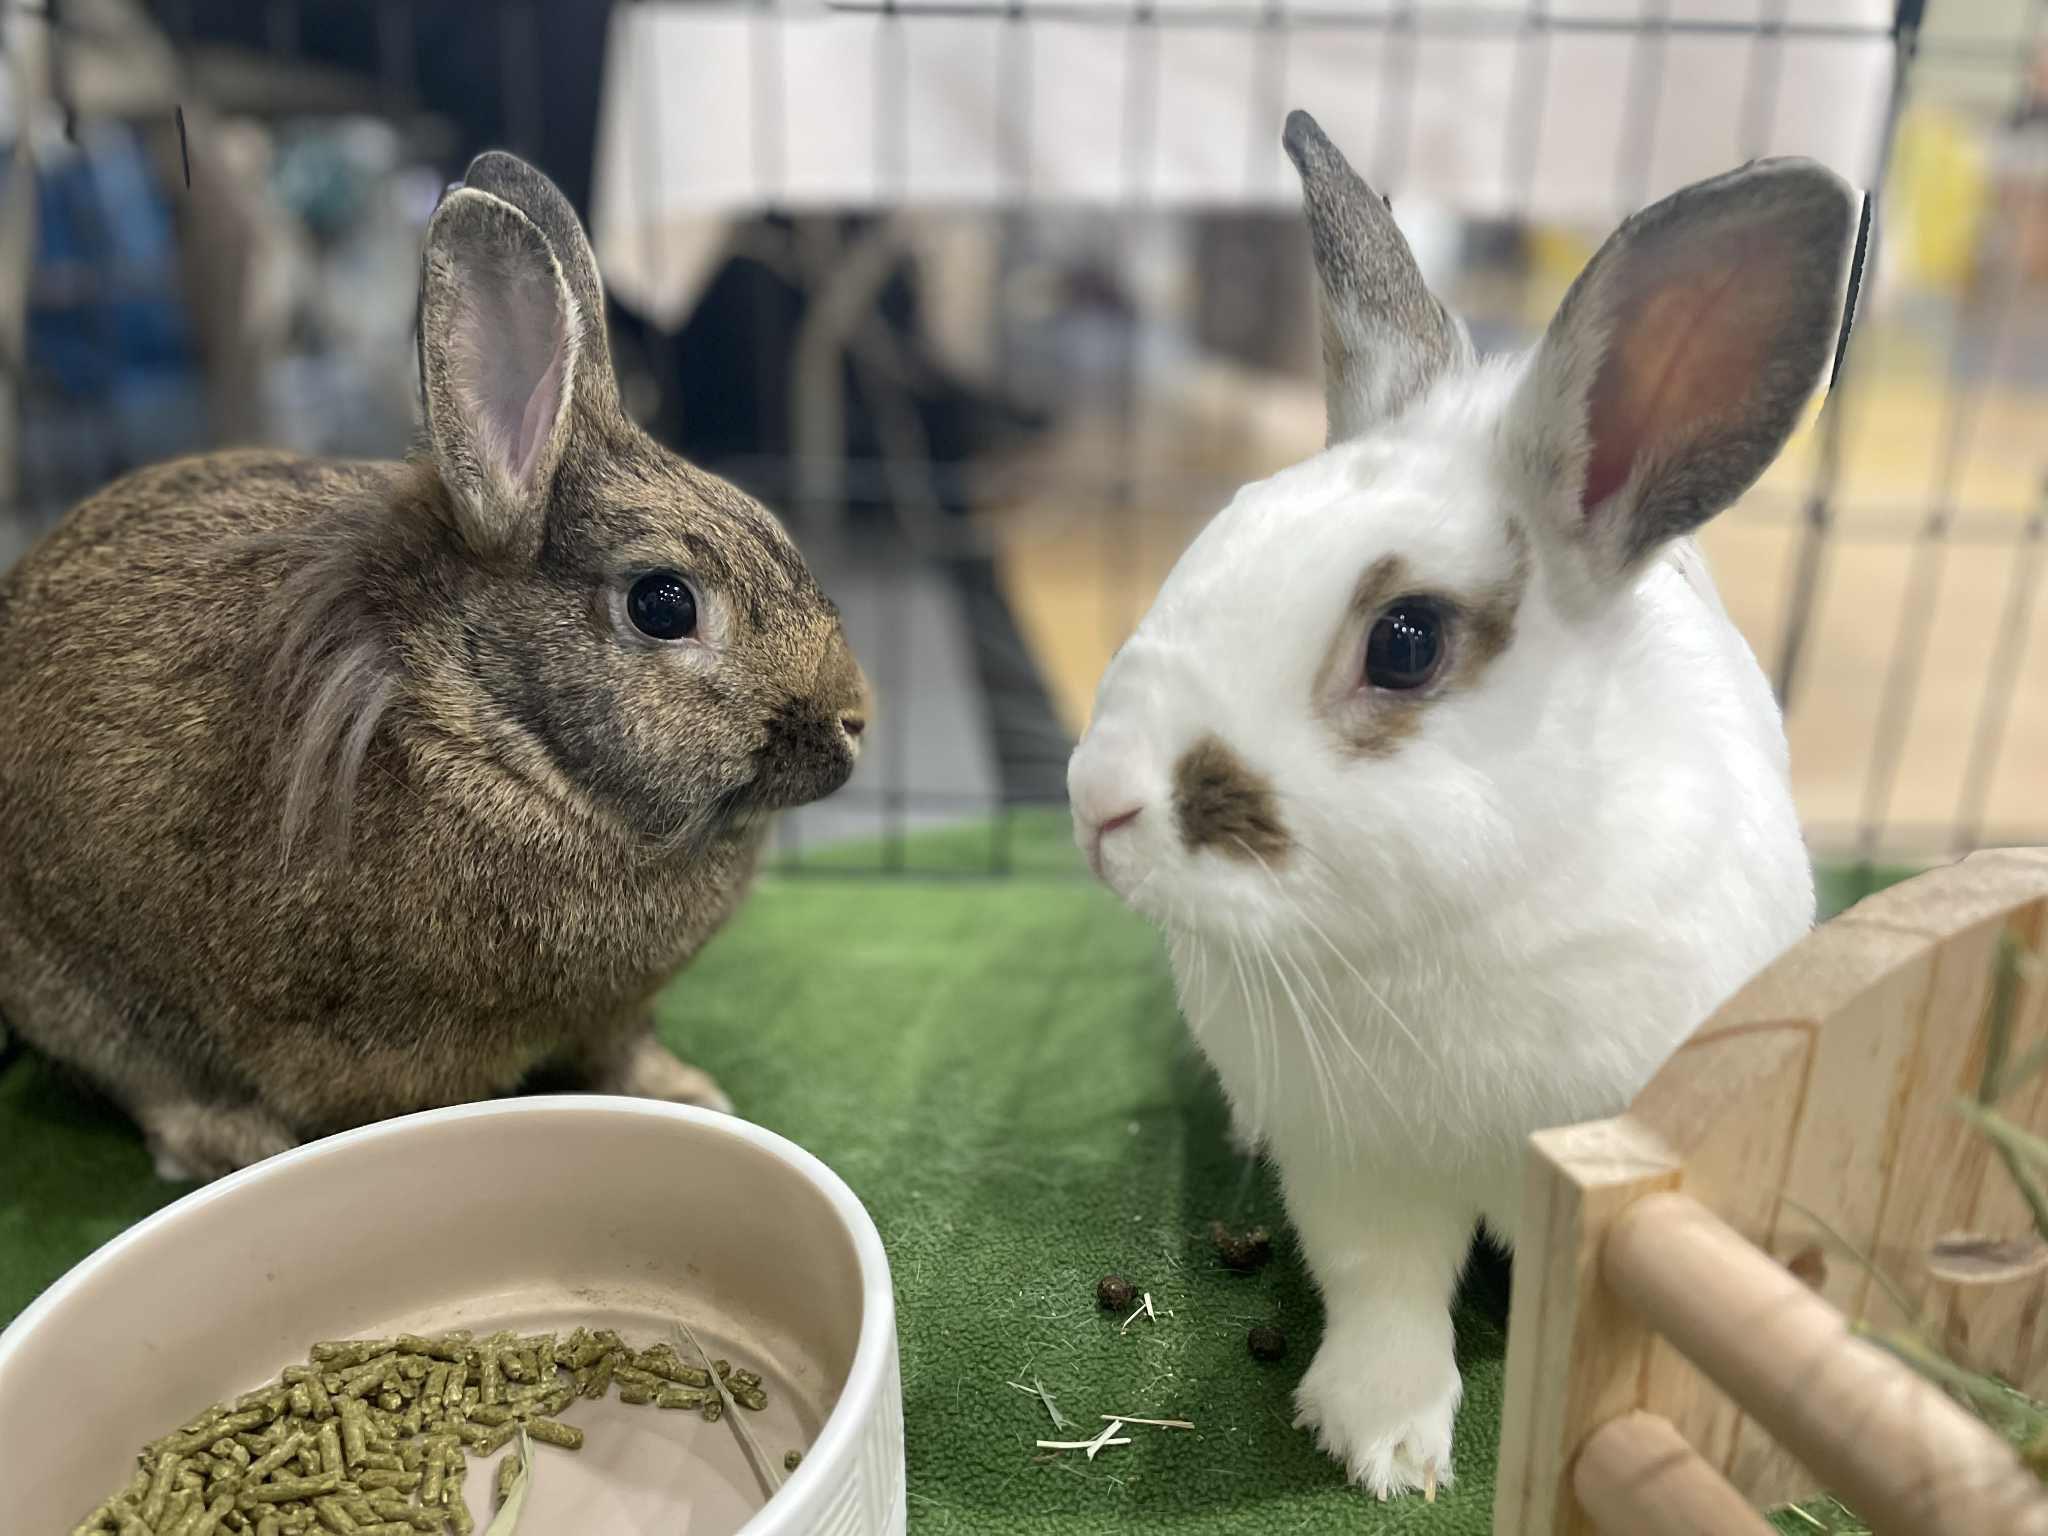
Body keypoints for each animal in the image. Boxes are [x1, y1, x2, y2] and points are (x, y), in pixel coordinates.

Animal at [0, 151, 869, 1183]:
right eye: (664, 605)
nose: (854, 720)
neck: (493, 727)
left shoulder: (614, 1013)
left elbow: (625, 1050)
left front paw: (690, 1093)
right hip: (81, 989)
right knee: (153, 1083)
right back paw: (232, 1141)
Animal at [1067, 110, 1851, 1499]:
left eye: (1405, 641)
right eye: (1222, 527)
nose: (1093, 801)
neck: (1455, 927)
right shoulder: (1358, 1168)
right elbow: (1381, 1289)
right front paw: (1382, 1441)